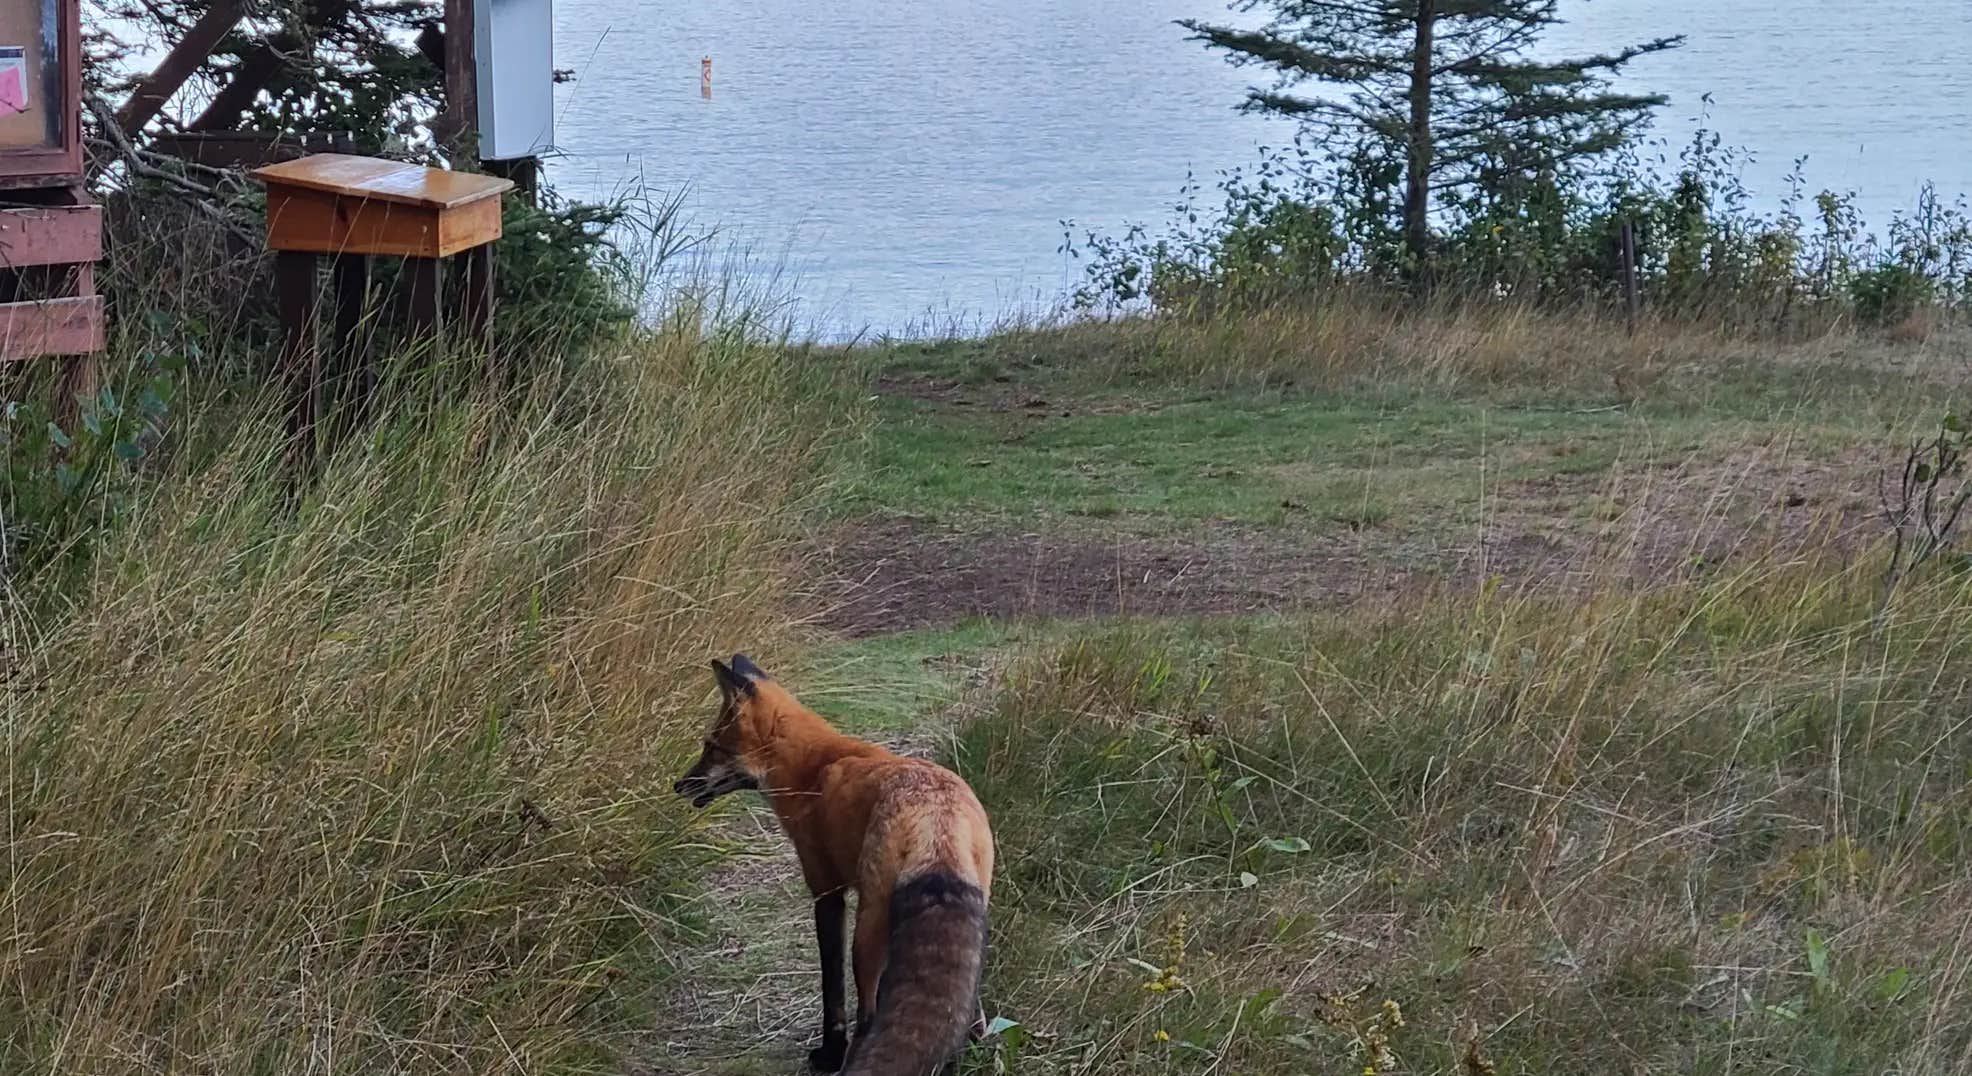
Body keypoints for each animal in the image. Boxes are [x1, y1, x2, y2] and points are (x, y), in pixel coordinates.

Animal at [672, 654, 995, 1076]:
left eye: (711, 747)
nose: (679, 785)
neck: (812, 768)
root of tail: (937, 822)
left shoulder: (825, 891)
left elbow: (832, 990)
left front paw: (828, 1053)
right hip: (975, 913)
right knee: (972, 1016)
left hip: (868, 932)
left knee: (869, 1014)